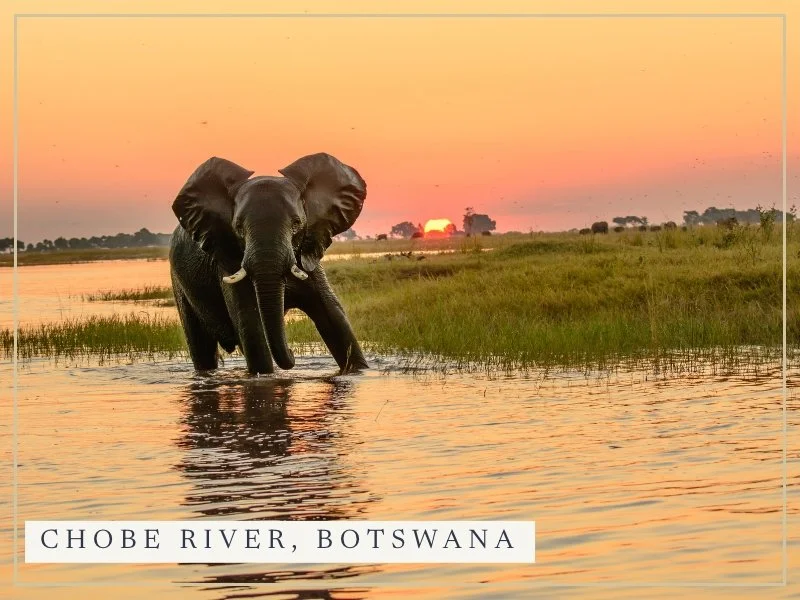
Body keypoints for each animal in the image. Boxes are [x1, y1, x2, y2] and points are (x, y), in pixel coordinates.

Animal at [169, 152, 369, 375]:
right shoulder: (229, 261)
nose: (292, 352)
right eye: (238, 227)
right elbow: (251, 326)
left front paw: (358, 372)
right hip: (179, 284)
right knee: (201, 347)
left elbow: (334, 317)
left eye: (297, 223)